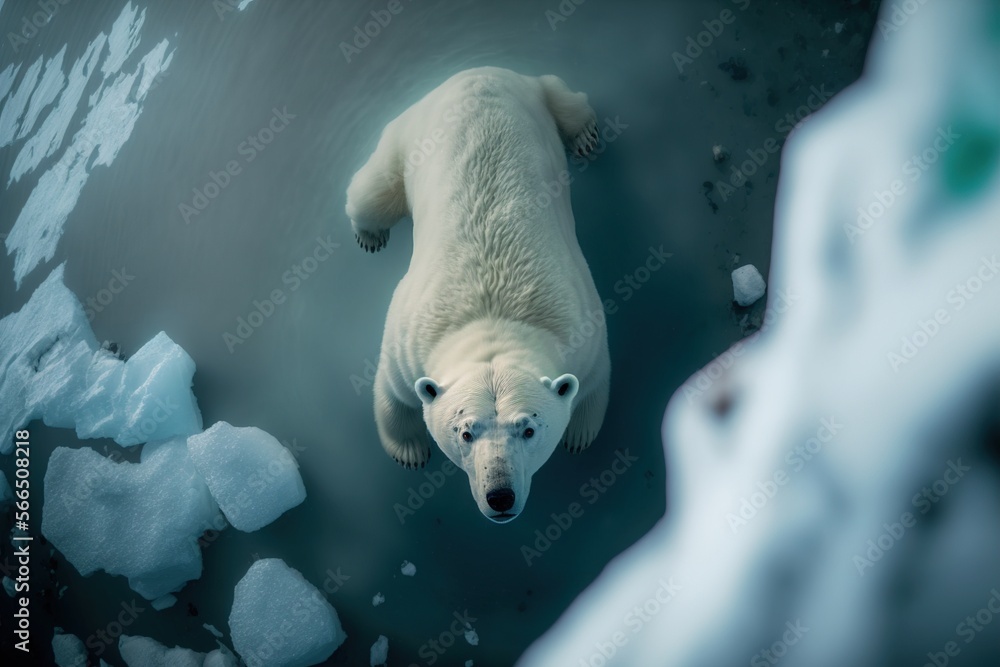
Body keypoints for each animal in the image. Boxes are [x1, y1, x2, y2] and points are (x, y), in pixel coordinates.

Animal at [346, 67, 610, 523]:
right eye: (464, 431)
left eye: (529, 428)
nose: (499, 496)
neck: (492, 317)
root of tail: (476, 71)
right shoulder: (409, 337)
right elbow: (392, 391)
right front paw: (410, 452)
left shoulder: (582, 328)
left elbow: (593, 383)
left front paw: (578, 436)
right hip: (406, 135)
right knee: (371, 195)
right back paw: (370, 235)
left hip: (534, 94)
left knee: (568, 102)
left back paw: (585, 137)